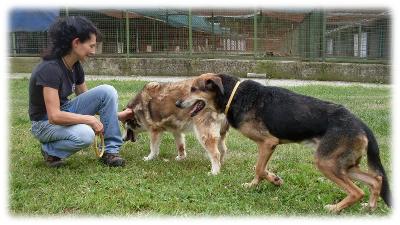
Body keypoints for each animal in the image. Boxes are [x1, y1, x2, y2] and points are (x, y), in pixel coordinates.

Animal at [177, 73, 390, 212]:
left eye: (194, 89)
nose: (178, 104)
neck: (233, 95)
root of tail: (361, 124)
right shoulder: (266, 146)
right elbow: (260, 169)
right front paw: (259, 183)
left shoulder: (268, 142)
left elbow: (259, 168)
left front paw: (270, 181)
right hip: (343, 165)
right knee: (376, 180)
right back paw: (370, 206)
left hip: (326, 163)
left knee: (357, 191)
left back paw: (335, 208)